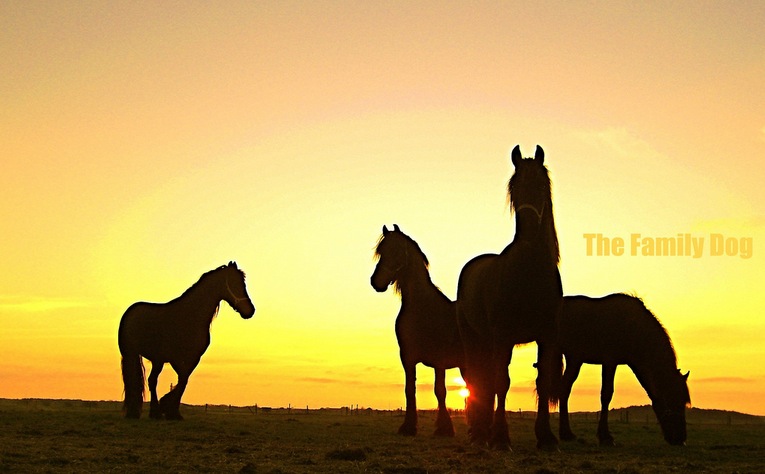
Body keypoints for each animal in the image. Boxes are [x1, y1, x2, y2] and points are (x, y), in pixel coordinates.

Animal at [118, 261, 255, 420]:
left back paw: (154, 413)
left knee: (152, 381)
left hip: (157, 360)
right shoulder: (176, 358)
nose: (250, 311)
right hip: (132, 354)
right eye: (235, 283)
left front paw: (171, 410)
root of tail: (130, 311)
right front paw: (169, 408)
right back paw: (138, 412)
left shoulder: (193, 358)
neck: (190, 316)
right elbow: (183, 380)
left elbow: (183, 380)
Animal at [371, 224, 464, 436]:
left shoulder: (439, 360)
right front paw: (408, 426)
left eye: (397, 251)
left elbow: (440, 390)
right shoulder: (407, 358)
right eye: (381, 252)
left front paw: (444, 428)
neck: (422, 309)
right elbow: (409, 389)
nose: (375, 281)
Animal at [456, 145, 563, 450]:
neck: (529, 274)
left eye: (541, 185)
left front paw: (546, 437)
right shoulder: (503, 336)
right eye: (514, 188)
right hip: (475, 339)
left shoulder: (547, 336)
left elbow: (543, 381)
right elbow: (501, 383)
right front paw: (501, 438)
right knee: (479, 378)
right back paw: (481, 432)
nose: (528, 230)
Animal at [557, 293, 691, 446]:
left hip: (574, 359)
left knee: (564, 388)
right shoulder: (609, 361)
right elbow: (606, 394)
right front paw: (605, 437)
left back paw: (566, 434)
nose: (681, 439)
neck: (631, 327)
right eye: (673, 398)